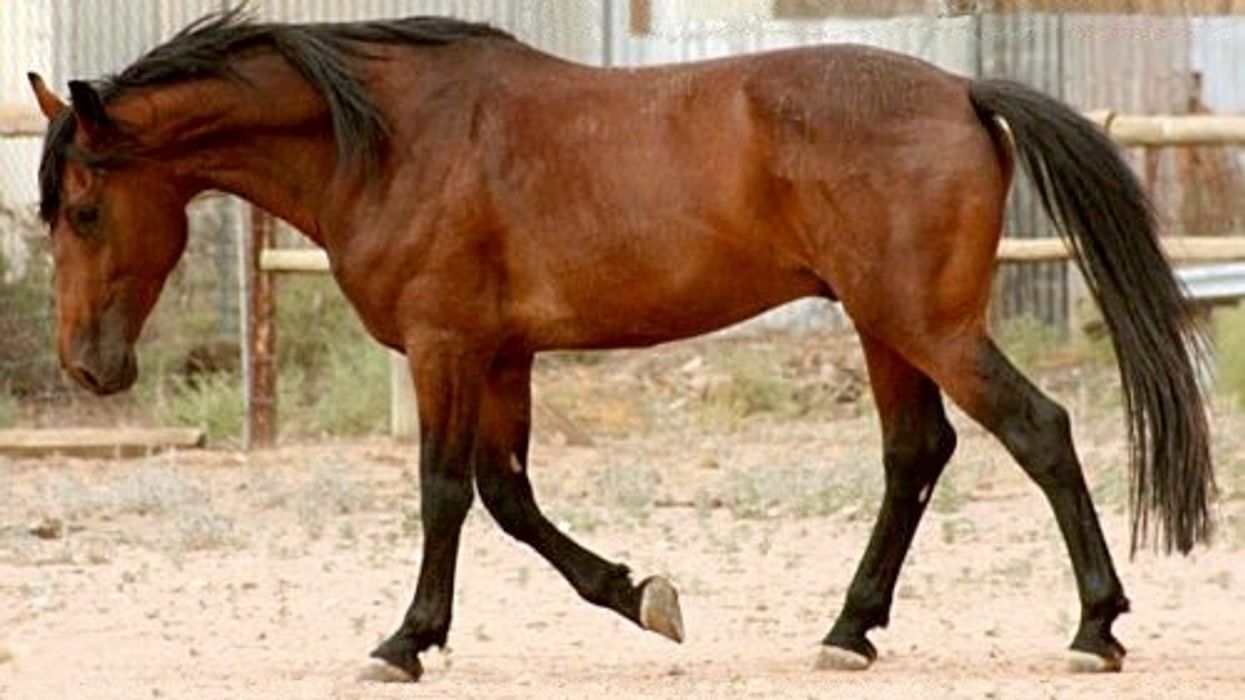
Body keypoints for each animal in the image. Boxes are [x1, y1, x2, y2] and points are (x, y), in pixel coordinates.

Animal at [28, 8, 1213, 680]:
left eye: (82, 210)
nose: (91, 367)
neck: (392, 140)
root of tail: (964, 91)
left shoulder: (445, 345)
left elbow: (444, 494)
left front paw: (404, 641)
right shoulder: (502, 355)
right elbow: (509, 499)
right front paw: (642, 596)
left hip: (927, 324)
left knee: (1038, 429)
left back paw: (1095, 627)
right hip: (885, 327)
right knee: (916, 456)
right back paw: (848, 629)